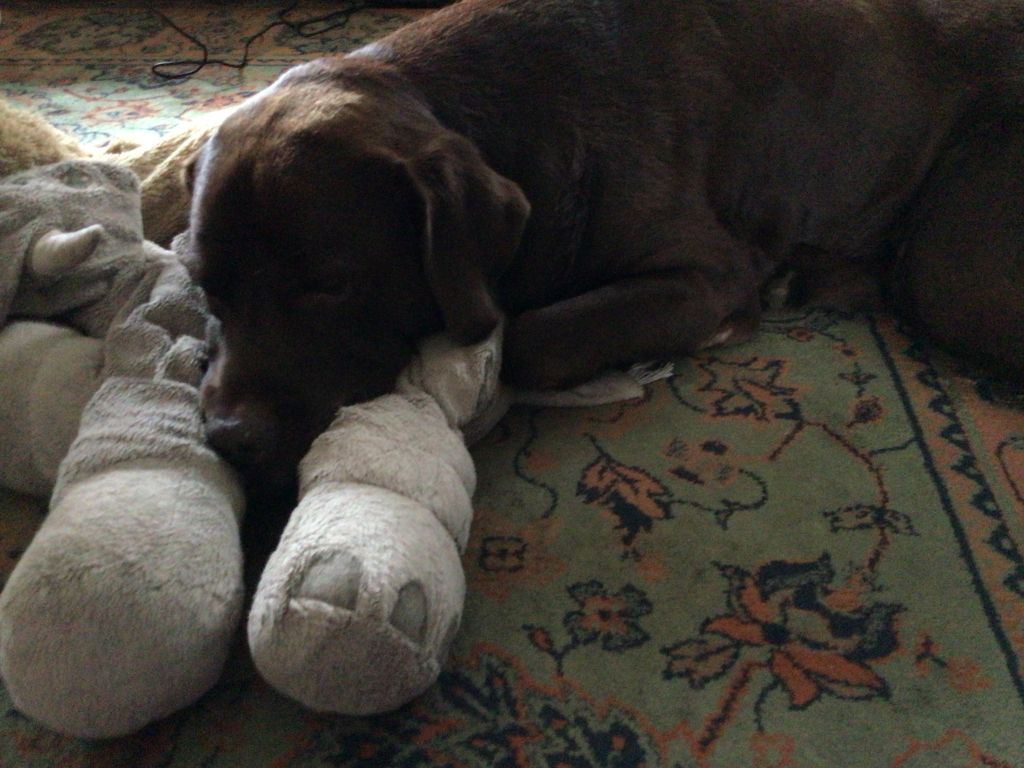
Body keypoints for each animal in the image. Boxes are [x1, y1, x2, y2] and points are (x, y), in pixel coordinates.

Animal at [185, 0, 1024, 492]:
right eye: (205, 287)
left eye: (330, 285)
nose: (228, 439)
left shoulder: (707, 274)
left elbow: (531, 337)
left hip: (949, 265)